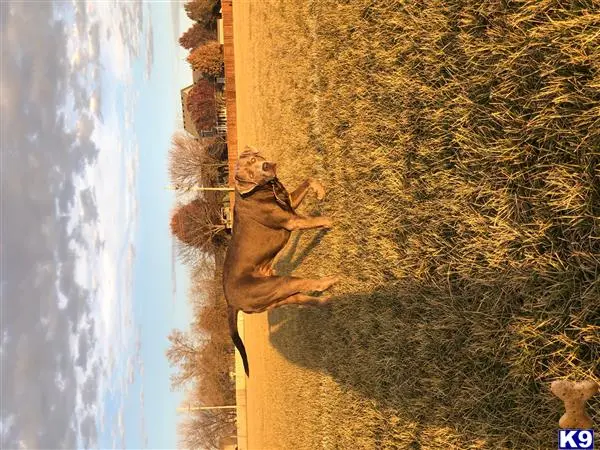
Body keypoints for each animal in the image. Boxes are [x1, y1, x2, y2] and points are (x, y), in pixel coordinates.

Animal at [223, 145, 340, 376]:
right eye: (249, 176)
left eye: (253, 160)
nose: (266, 166)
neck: (266, 188)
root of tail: (230, 302)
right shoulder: (292, 221)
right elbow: (317, 220)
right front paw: (329, 221)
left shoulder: (290, 202)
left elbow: (308, 179)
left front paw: (320, 190)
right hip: (277, 284)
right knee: (309, 284)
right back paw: (330, 280)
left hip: (276, 298)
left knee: (303, 298)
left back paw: (327, 302)